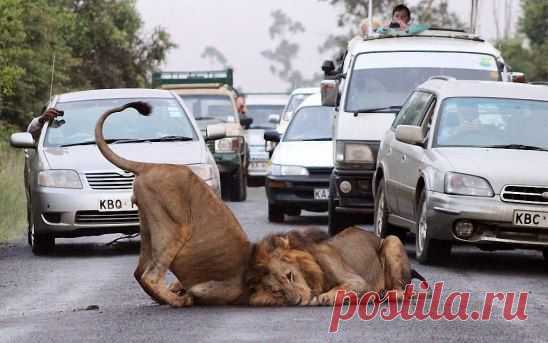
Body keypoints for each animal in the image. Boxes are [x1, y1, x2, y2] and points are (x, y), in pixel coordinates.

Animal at [96, 101, 253, 306]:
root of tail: (149, 166)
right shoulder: (222, 289)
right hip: (174, 228)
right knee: (150, 276)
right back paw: (178, 301)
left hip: (149, 226)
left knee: (139, 272)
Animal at [247, 228, 424, 306]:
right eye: (277, 291)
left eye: (290, 275)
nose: (296, 301)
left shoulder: (358, 281)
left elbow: (335, 291)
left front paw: (324, 297)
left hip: (392, 240)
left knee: (400, 292)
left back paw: (384, 294)